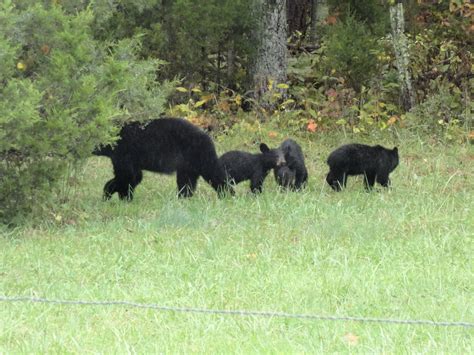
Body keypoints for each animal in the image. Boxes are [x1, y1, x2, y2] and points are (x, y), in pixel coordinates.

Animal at [92, 117, 231, 199]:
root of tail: (208, 137)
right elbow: (135, 176)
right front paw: (109, 192)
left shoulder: (124, 152)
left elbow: (126, 176)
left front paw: (121, 195)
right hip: (188, 164)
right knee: (186, 181)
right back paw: (183, 198)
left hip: (199, 155)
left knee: (214, 173)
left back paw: (228, 194)